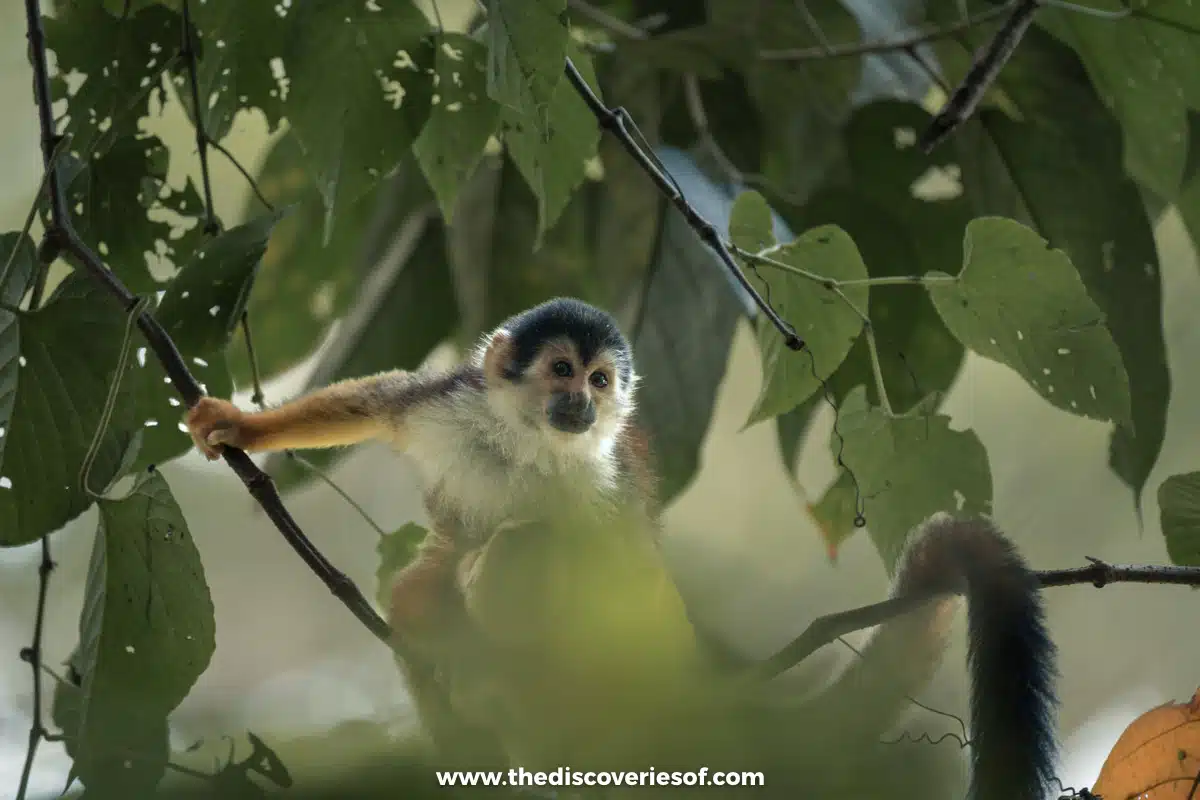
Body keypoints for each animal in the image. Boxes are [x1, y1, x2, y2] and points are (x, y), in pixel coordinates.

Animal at [184, 297, 1057, 799]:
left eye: (602, 381)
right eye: (562, 369)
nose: (582, 402)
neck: (530, 441)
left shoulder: (607, 482)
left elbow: (632, 573)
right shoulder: (449, 403)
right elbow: (375, 400)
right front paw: (242, 426)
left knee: (531, 553)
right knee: (424, 586)